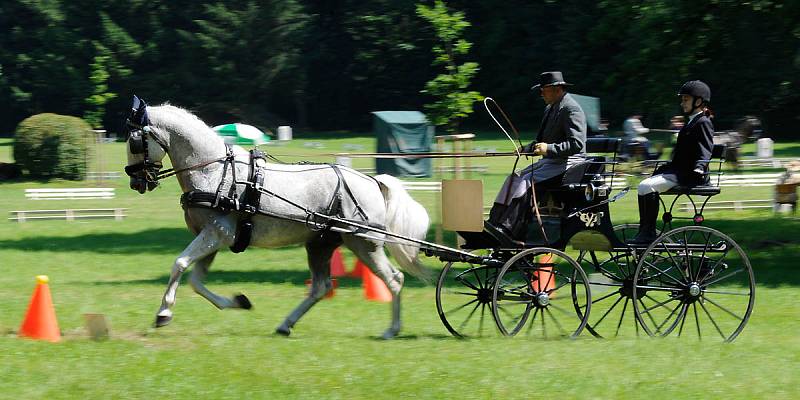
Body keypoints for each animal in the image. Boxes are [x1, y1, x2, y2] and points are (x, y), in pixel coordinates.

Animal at [122, 97, 428, 338]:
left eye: (135, 141)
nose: (136, 182)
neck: (214, 172)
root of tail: (372, 181)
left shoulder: (216, 233)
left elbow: (180, 263)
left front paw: (163, 313)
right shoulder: (213, 238)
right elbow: (196, 281)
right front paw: (238, 301)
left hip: (365, 244)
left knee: (394, 280)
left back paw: (392, 330)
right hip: (320, 245)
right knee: (320, 287)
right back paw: (285, 324)